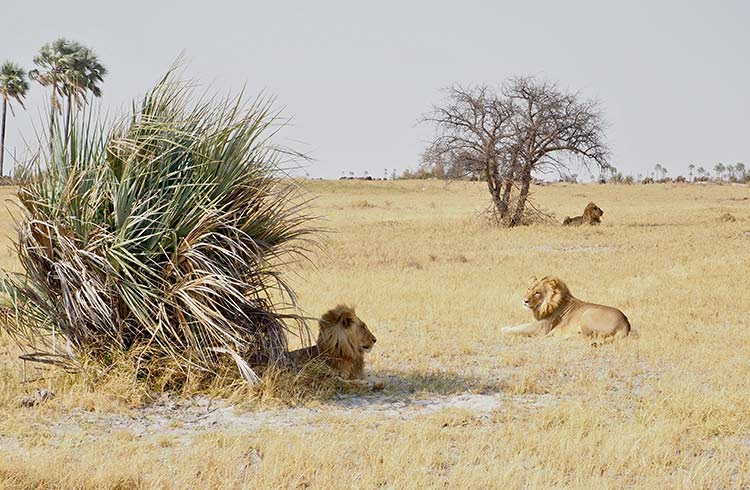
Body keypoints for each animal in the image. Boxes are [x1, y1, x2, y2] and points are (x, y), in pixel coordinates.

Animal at [502, 278, 632, 338]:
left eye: (537, 293)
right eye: (529, 289)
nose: (524, 300)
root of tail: (625, 324)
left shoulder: (539, 329)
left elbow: (519, 330)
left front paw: (503, 331)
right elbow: (519, 326)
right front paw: (505, 327)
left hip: (587, 314)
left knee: (588, 336)